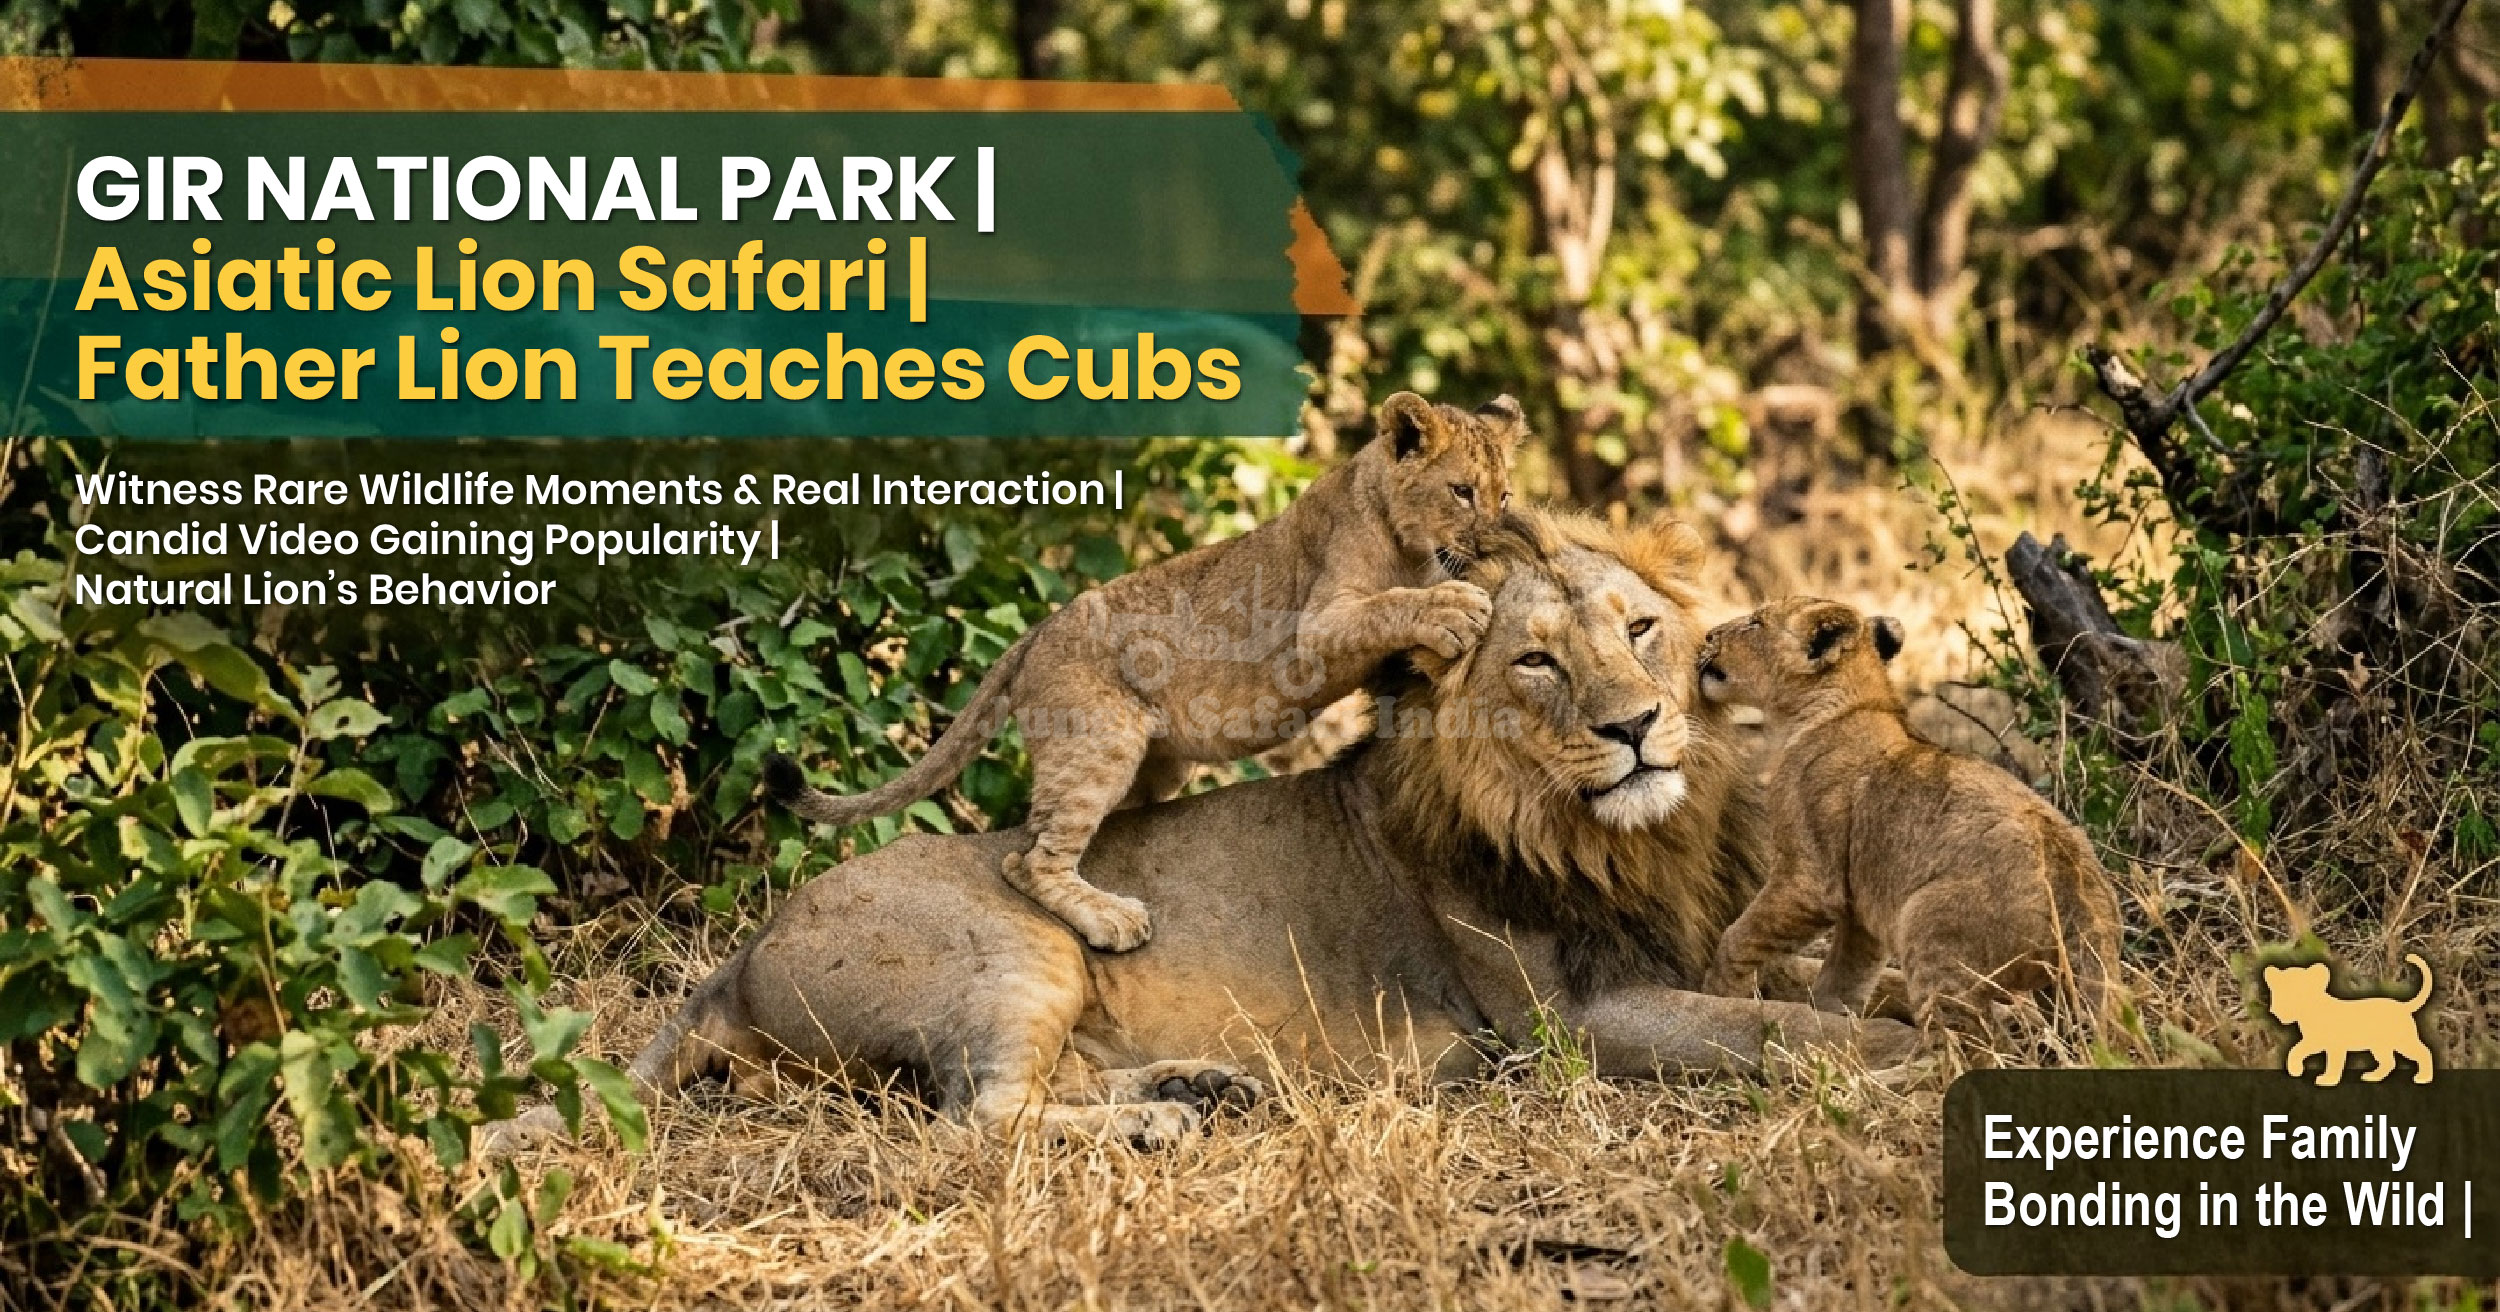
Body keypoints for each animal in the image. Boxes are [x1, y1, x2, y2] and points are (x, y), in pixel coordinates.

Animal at [514, 513, 1914, 1150]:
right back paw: (1162, 1123)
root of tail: (735, 959)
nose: (1635, 728)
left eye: (1637, 630)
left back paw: (1200, 1086)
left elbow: (1801, 985)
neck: (1611, 833)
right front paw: (1902, 1051)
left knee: (1033, 1090)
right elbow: (1772, 1031)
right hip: (1018, 949)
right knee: (979, 1121)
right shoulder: (1569, 1024)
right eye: (1533, 661)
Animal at [765, 391, 1522, 953]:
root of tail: (1035, 633)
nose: (1494, 541)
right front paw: (1455, 606)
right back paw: (1112, 919)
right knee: (1026, 859)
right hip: (1099, 744)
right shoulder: (1317, 626)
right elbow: (1389, 606)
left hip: (1157, 766)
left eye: (1504, 496)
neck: (1403, 536)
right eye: (1461, 492)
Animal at [1695, 598, 2121, 1034]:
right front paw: (1833, 1028)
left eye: (1754, 623)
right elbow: (1845, 977)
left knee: (1967, 1039)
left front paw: (1721, 995)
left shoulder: (1810, 880)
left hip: (1926, 926)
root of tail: (2080, 895)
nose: (1708, 635)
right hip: (2063, 987)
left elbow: (1738, 937)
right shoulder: (1860, 908)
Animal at [2264, 955, 2434, 1086]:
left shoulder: (2333, 1045)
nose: (2282, 1008)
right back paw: (2372, 1077)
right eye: (2281, 991)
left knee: (2424, 1051)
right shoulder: (2315, 1040)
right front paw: (2296, 1070)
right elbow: (2296, 1050)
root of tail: (2403, 1005)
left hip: (2402, 1041)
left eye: (2300, 992)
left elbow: (2331, 1062)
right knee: (2389, 1062)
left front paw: (2328, 1080)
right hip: (2379, 1045)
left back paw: (2423, 1078)